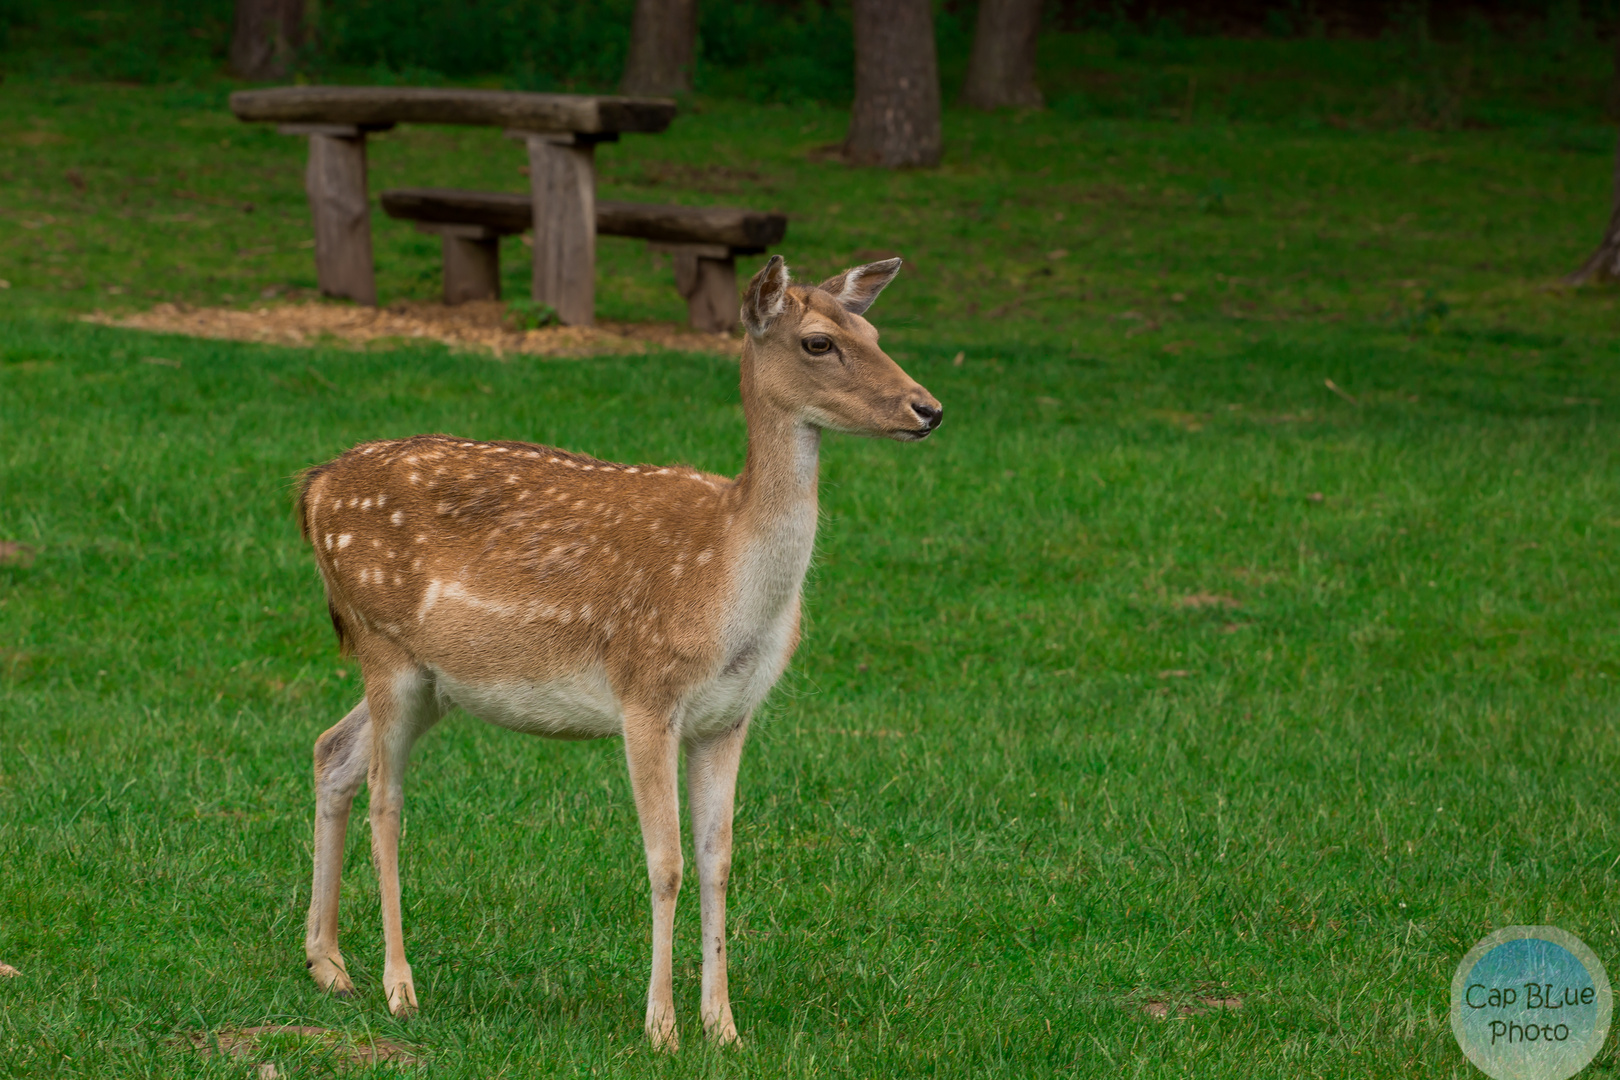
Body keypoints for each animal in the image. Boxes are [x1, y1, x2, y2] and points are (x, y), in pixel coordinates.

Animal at [298, 254, 946, 1049]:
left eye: (875, 331)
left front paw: (723, 1027)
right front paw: (661, 1027)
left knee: (333, 750)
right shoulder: (647, 694)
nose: (927, 409)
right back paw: (399, 987)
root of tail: (313, 489)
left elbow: (718, 860)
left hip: (434, 679)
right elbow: (665, 862)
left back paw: (329, 964)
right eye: (819, 342)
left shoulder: (730, 715)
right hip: (383, 641)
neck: (729, 586)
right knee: (386, 798)